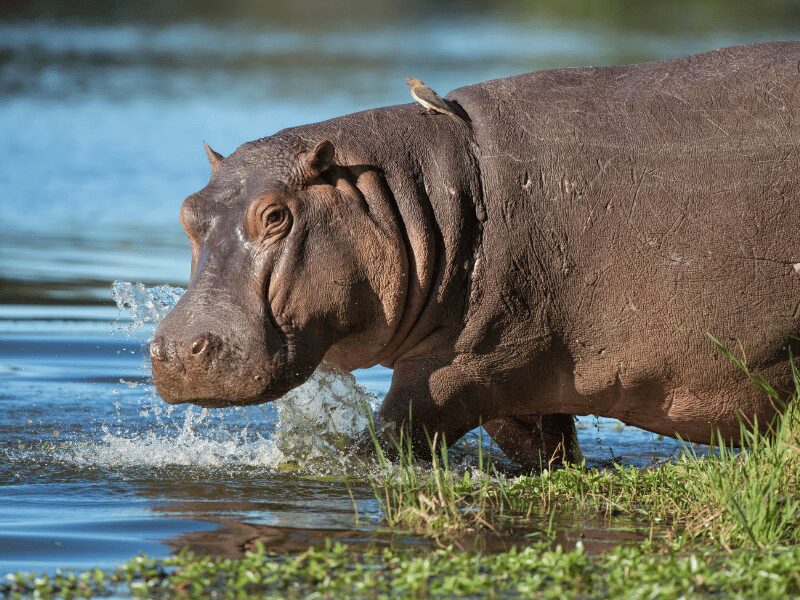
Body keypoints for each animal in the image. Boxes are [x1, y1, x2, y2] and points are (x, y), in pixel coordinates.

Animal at [151, 42, 800, 469]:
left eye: (276, 215)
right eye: (186, 211)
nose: (179, 349)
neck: (409, 193)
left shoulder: (465, 366)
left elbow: (387, 438)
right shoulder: (519, 379)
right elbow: (546, 450)